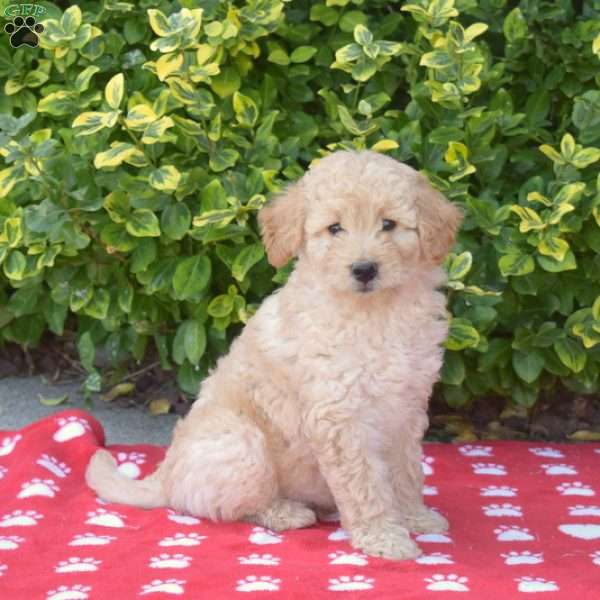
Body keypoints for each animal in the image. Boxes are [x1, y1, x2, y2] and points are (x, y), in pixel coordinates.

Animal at [86, 149, 464, 556]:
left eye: (389, 224)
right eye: (335, 229)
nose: (364, 269)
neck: (375, 311)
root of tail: (165, 475)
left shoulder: (405, 407)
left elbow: (407, 471)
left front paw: (415, 518)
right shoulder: (339, 415)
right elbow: (364, 485)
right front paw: (384, 538)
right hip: (243, 444)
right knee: (225, 507)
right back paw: (286, 513)